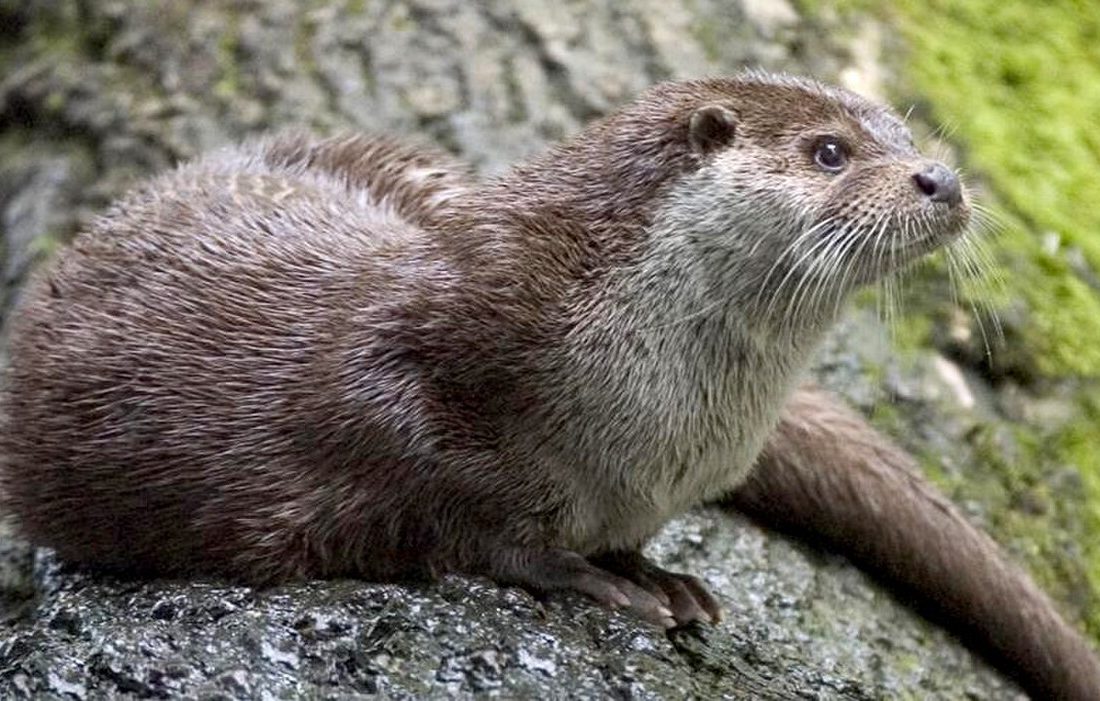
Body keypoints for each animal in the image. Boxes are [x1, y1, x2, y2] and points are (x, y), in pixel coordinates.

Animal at [0, 72, 1096, 698]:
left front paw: (656, 570)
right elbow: (458, 509)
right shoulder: (415, 379)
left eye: (907, 137)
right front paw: (596, 577)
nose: (941, 180)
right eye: (829, 151)